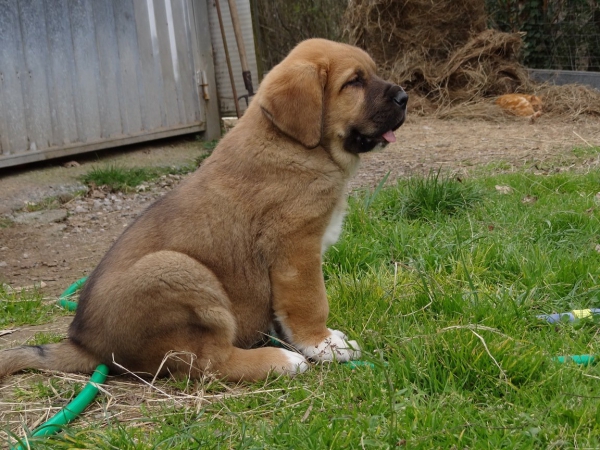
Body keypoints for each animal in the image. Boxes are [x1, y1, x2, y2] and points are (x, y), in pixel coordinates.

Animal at [0, 39, 408, 384]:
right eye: (354, 82)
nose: (405, 96)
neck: (295, 144)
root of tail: (84, 344)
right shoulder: (296, 247)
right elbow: (310, 302)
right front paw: (323, 344)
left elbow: (284, 309)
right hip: (178, 270)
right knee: (207, 362)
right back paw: (280, 361)